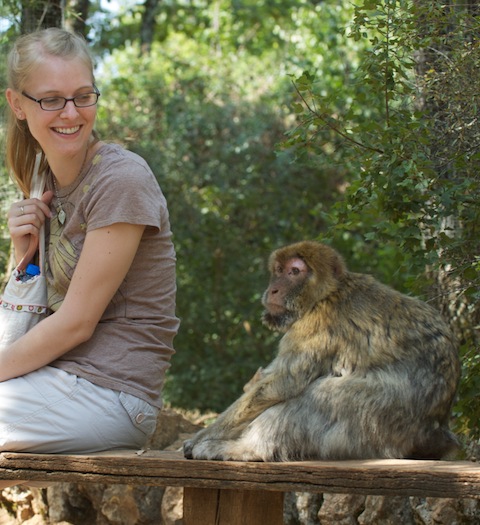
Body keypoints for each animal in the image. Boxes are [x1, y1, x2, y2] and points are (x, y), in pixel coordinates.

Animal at [184, 242, 462, 458]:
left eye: (295, 271)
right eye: (278, 271)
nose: (273, 289)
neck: (326, 293)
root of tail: (434, 434)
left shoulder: (314, 325)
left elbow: (284, 383)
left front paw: (205, 435)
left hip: (380, 423)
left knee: (319, 395)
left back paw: (244, 450)